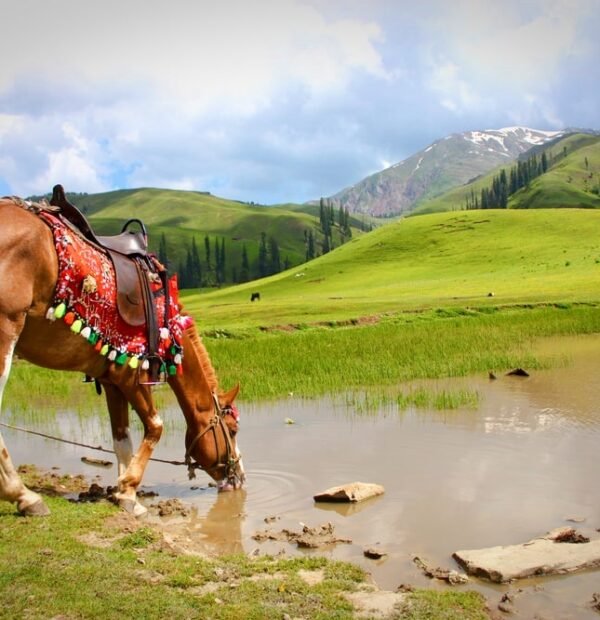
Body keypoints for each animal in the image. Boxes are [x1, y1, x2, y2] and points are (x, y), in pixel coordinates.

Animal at [0, 196, 245, 516]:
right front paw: (129, 491)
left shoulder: (111, 379)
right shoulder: (132, 375)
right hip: (6, 329)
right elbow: (155, 426)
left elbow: (121, 438)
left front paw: (123, 491)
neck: (166, 318)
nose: (239, 477)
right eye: (233, 429)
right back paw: (24, 496)